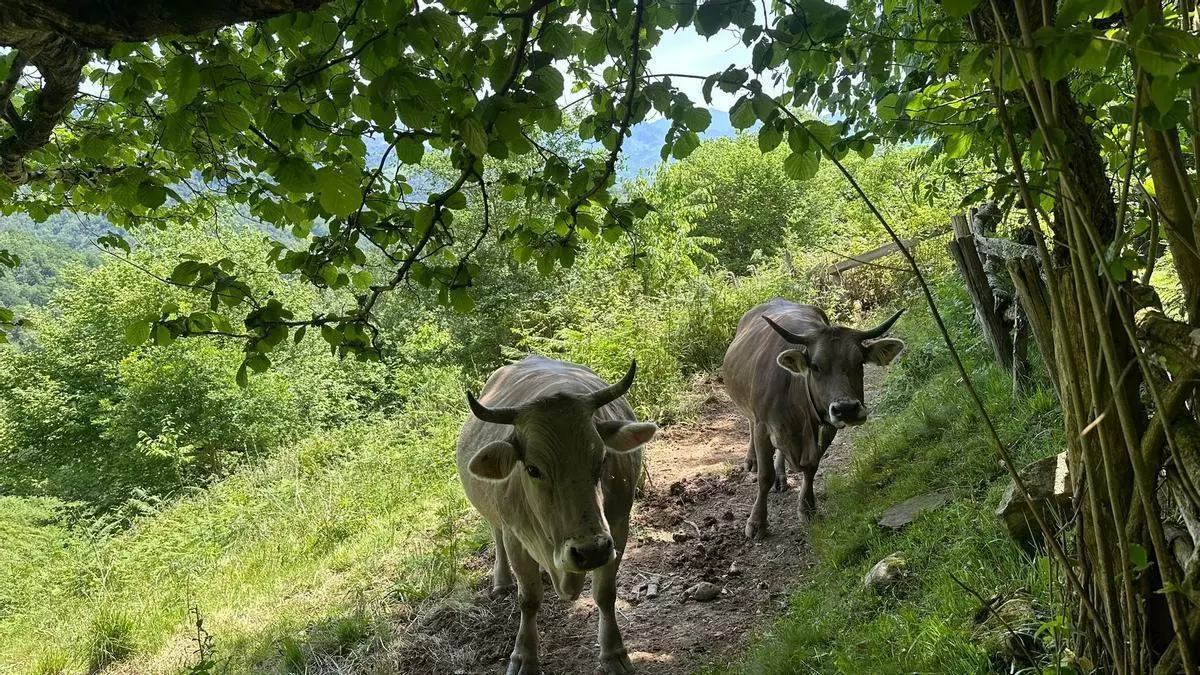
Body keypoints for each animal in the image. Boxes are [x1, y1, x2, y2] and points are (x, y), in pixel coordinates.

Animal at [457, 355, 658, 675]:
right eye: (532, 469)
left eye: (601, 459)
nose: (591, 551)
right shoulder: (516, 537)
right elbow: (529, 599)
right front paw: (524, 657)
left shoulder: (617, 528)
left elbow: (605, 593)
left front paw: (613, 652)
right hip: (495, 515)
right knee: (495, 531)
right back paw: (501, 580)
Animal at [722, 299, 905, 539]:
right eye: (816, 366)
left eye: (859, 363)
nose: (847, 409)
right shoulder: (763, 427)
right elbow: (764, 476)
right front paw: (757, 522)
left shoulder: (826, 425)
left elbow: (811, 467)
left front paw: (807, 508)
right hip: (749, 408)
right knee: (750, 424)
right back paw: (751, 460)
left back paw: (782, 476)